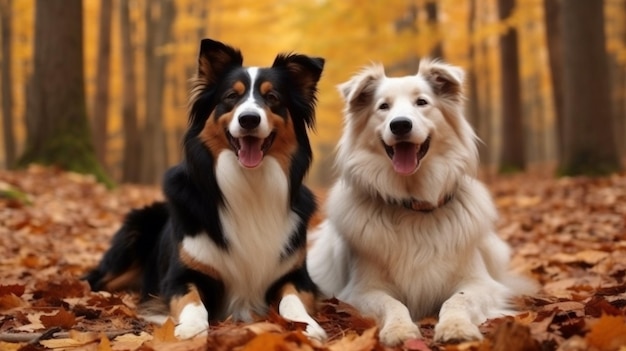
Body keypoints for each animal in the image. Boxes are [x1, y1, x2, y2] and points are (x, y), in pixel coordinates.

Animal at [306, 60, 532, 346]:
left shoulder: (480, 283)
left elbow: (457, 300)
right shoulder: (361, 290)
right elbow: (392, 303)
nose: (400, 125)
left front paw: (456, 327)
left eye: (422, 102)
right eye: (383, 106)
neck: (414, 205)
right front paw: (399, 330)